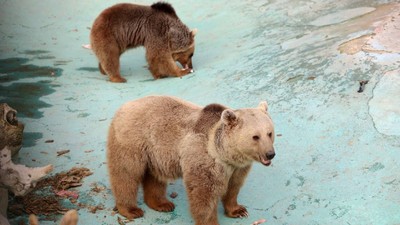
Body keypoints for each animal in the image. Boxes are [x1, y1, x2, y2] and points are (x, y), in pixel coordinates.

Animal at [106, 96, 276, 224]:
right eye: (255, 136)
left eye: (269, 133)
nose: (270, 154)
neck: (224, 154)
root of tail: (124, 106)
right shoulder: (203, 157)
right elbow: (204, 194)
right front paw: (210, 221)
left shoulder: (237, 167)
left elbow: (233, 187)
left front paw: (238, 210)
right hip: (132, 140)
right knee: (126, 174)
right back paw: (131, 209)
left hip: (155, 153)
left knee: (154, 177)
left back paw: (162, 204)